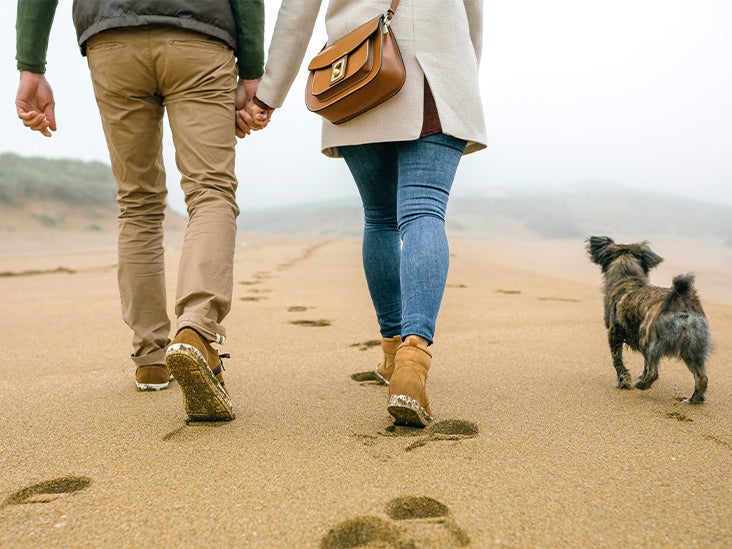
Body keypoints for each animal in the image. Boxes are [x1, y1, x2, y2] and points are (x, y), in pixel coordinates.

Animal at [588, 235, 712, 402]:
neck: (629, 278)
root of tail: (680, 299)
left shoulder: (613, 334)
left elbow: (617, 361)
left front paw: (624, 381)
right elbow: (644, 363)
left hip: (647, 339)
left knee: (654, 372)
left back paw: (642, 385)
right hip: (692, 351)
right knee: (702, 378)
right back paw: (693, 400)